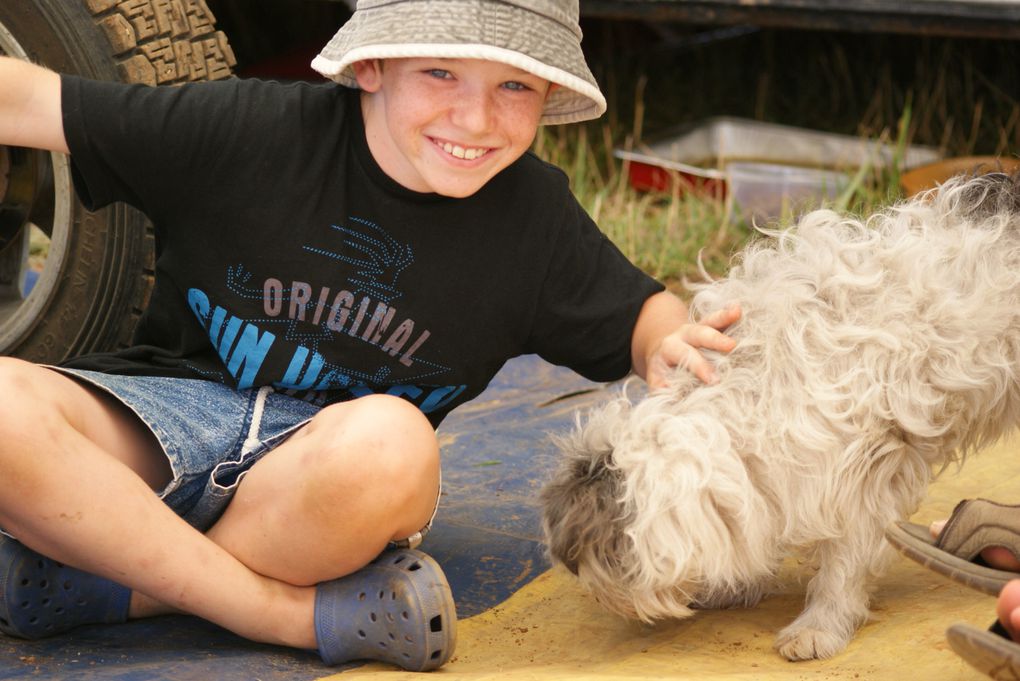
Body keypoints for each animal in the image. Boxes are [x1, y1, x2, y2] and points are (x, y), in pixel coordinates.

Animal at [538, 170, 1020, 660]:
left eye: (603, 550)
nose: (572, 568)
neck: (758, 389)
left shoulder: (864, 471)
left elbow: (845, 559)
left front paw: (820, 624)